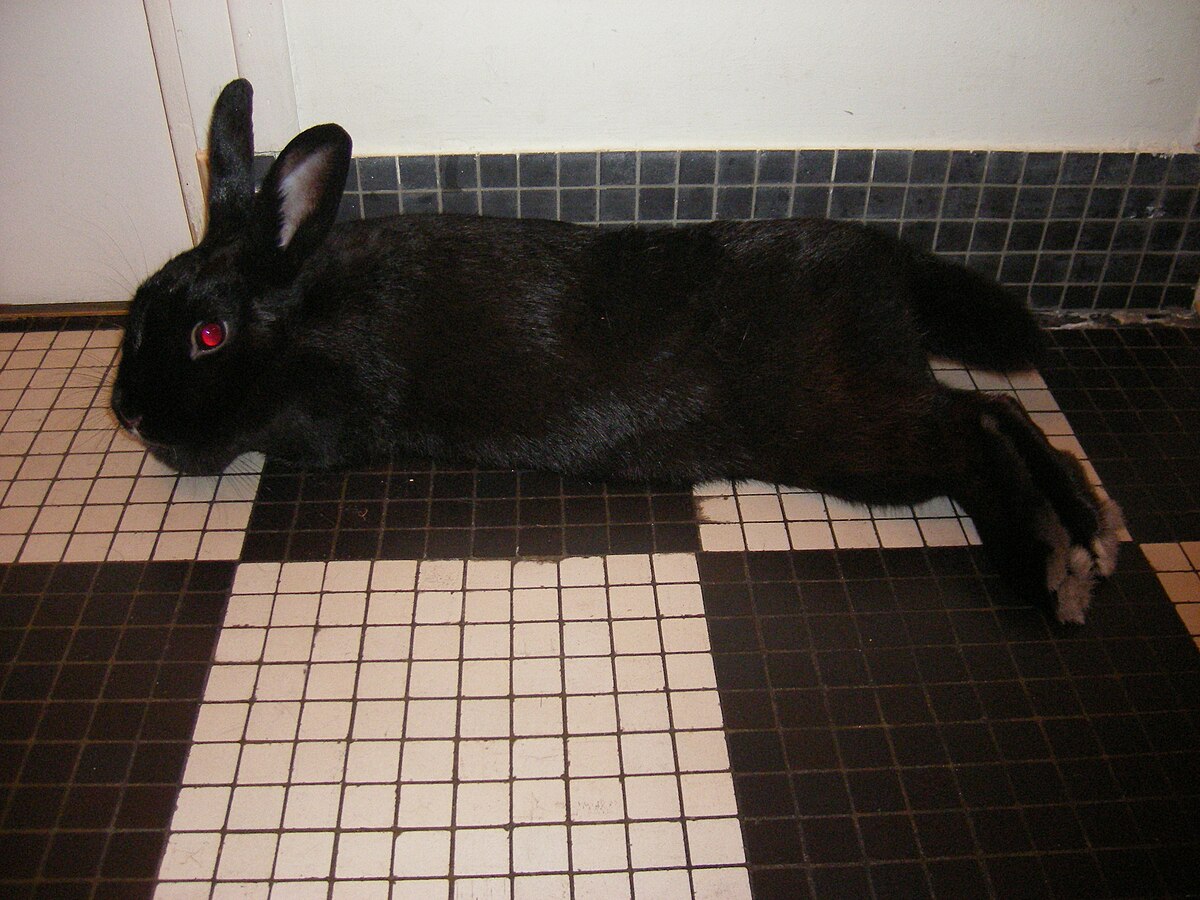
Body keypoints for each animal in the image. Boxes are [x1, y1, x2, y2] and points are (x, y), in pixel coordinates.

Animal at [112, 79, 1123, 624]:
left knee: (969, 435)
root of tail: (889, 266)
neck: (310, 316)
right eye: (141, 304)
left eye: (209, 335)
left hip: (847, 432)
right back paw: (1093, 530)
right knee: (999, 407)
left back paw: (1051, 573)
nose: (125, 411)